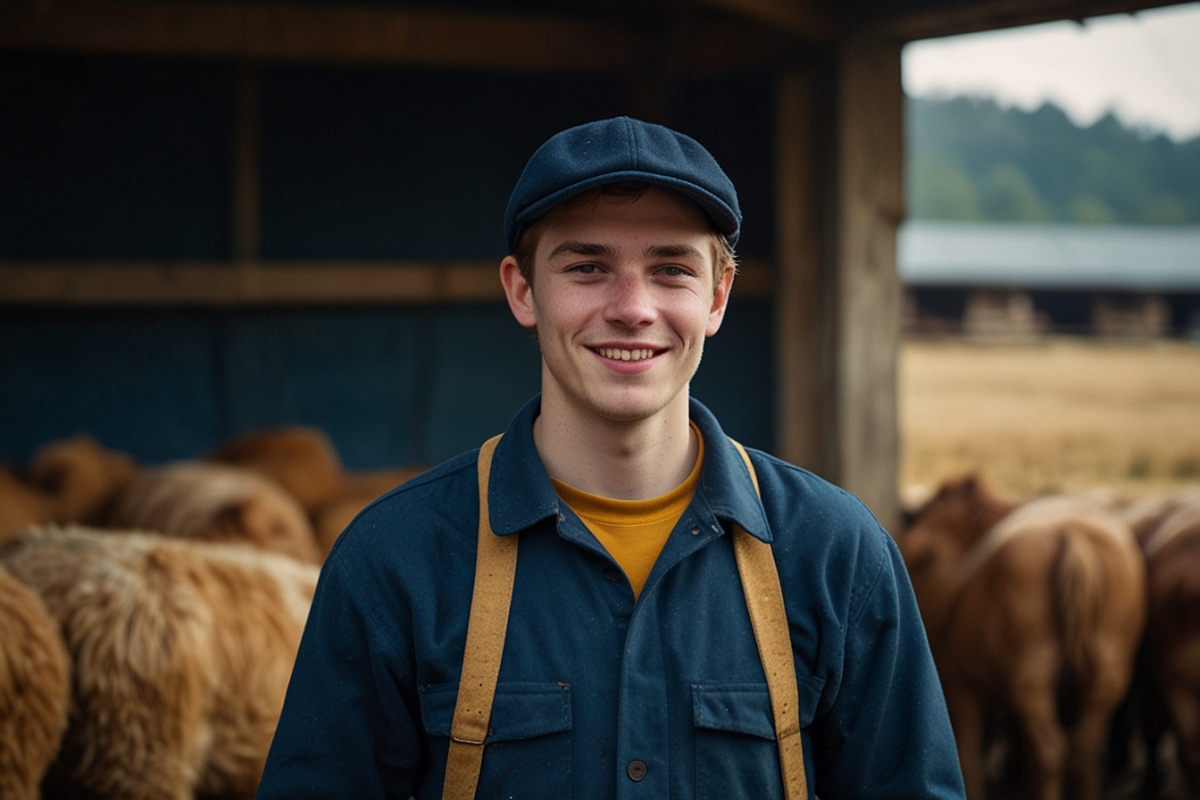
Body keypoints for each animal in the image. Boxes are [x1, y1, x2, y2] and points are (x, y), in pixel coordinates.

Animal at [902, 474, 1147, 800]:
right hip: (1103, 682)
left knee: (1050, 751)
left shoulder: (960, 682)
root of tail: (1073, 537)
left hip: (1031, 684)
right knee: (1081, 752)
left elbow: (968, 755)